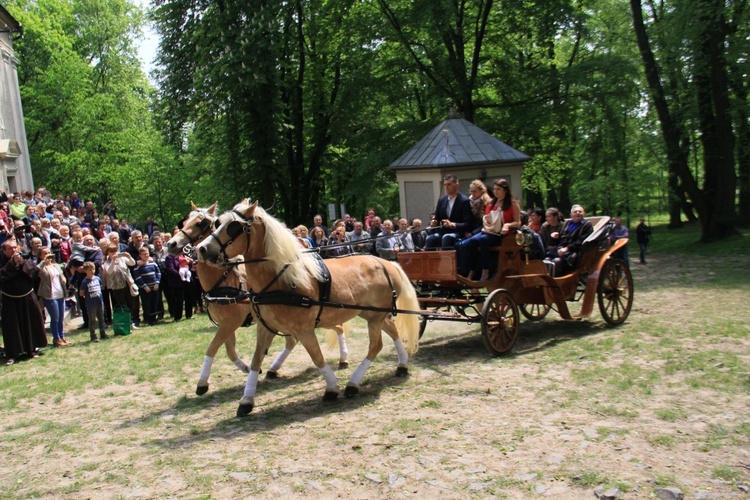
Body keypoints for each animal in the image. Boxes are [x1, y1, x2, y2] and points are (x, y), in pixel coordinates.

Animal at [166, 201, 352, 396]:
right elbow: (229, 350)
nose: (171, 244)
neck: (224, 278)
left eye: (200, 223)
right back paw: (274, 369)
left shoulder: (231, 321)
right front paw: (248, 369)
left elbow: (213, 348)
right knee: (304, 337)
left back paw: (343, 358)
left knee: (335, 328)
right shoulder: (228, 323)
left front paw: (202, 383)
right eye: (184, 221)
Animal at [197, 197, 424, 416]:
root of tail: (387, 263)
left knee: (375, 346)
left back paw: (353, 383)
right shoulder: (264, 327)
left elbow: (317, 357)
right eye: (217, 223)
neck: (282, 281)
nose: (202, 249)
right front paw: (246, 400)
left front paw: (331, 388)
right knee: (393, 331)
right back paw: (402, 365)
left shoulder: (303, 329)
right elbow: (255, 361)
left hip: (375, 317)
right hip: (372, 314)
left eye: (233, 226)